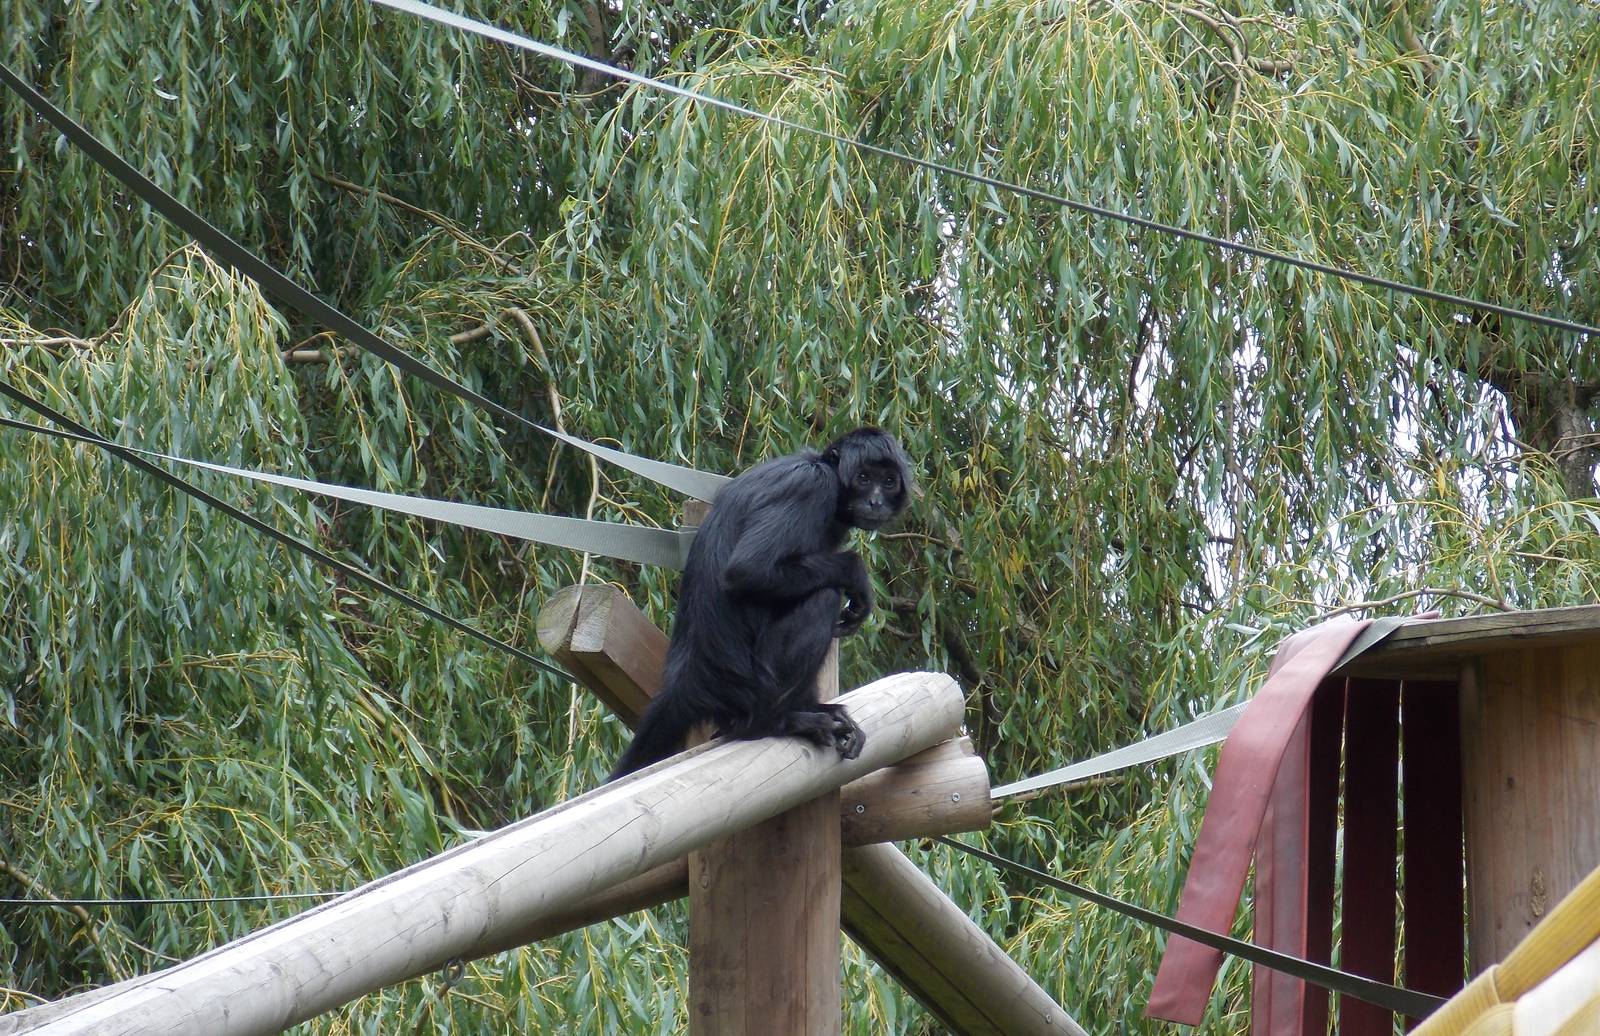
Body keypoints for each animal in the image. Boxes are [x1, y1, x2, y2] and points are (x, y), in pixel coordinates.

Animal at [608, 427, 913, 779]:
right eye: (864, 478)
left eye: (888, 482)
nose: (876, 500)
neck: (828, 473)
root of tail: (687, 679)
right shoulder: (810, 485)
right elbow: (748, 571)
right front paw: (855, 574)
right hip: (756, 685)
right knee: (823, 597)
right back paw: (777, 722)